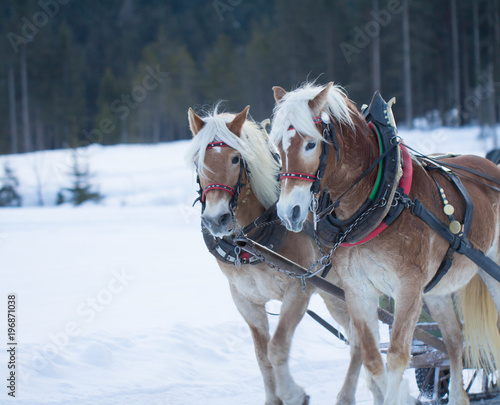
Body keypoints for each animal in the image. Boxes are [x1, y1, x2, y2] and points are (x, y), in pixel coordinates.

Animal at [186, 105, 376, 404]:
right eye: (198, 160)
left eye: (235, 159)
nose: (217, 219)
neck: (251, 242)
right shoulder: (245, 300)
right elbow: (262, 356)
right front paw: (273, 398)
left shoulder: (298, 289)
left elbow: (277, 346)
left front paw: (293, 393)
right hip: (335, 294)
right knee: (359, 337)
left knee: (359, 339)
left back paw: (347, 396)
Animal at [272, 80, 500, 402]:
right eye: (278, 147)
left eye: (310, 144)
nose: (288, 212)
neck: (384, 201)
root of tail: (490, 167)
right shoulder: (358, 291)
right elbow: (370, 356)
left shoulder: (408, 288)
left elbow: (396, 356)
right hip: (436, 289)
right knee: (454, 340)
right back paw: (458, 396)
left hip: (490, 266)